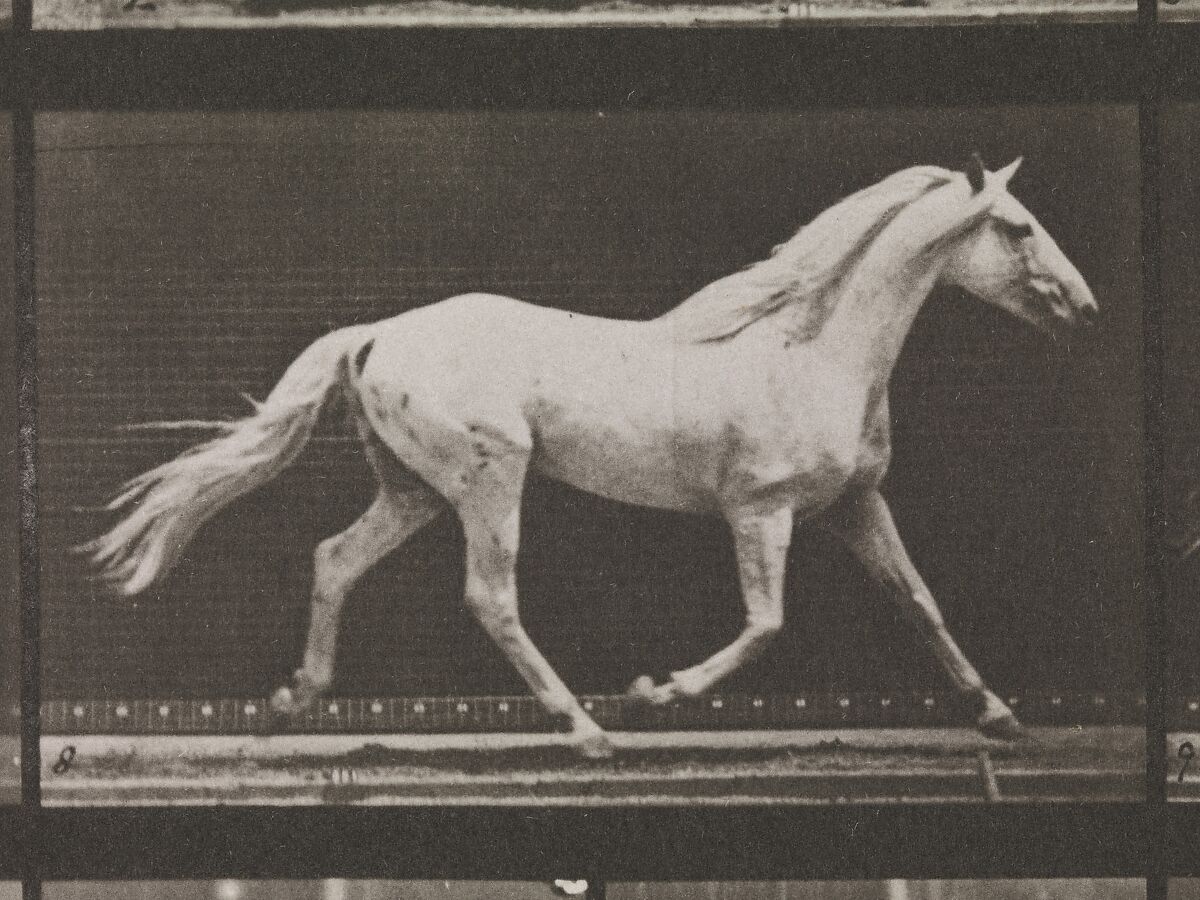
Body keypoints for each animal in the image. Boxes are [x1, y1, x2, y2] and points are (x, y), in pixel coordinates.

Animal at [81, 155, 1099, 759]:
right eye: (1016, 228)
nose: (1084, 308)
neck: (810, 352)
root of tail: (376, 334)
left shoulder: (856, 506)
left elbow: (919, 601)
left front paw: (999, 715)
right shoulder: (760, 510)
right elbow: (767, 624)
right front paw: (658, 692)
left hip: (414, 492)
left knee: (334, 559)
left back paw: (298, 699)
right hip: (491, 481)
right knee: (490, 597)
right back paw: (586, 728)